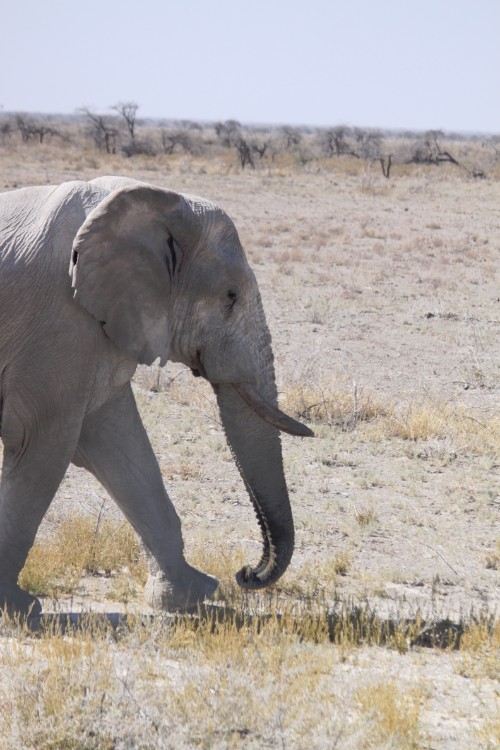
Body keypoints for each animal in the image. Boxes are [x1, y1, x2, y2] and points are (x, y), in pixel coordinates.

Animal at [0, 176, 312, 616]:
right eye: (231, 296)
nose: (247, 572)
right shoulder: (59, 324)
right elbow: (40, 447)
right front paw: (20, 608)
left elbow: (121, 450)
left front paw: (188, 595)